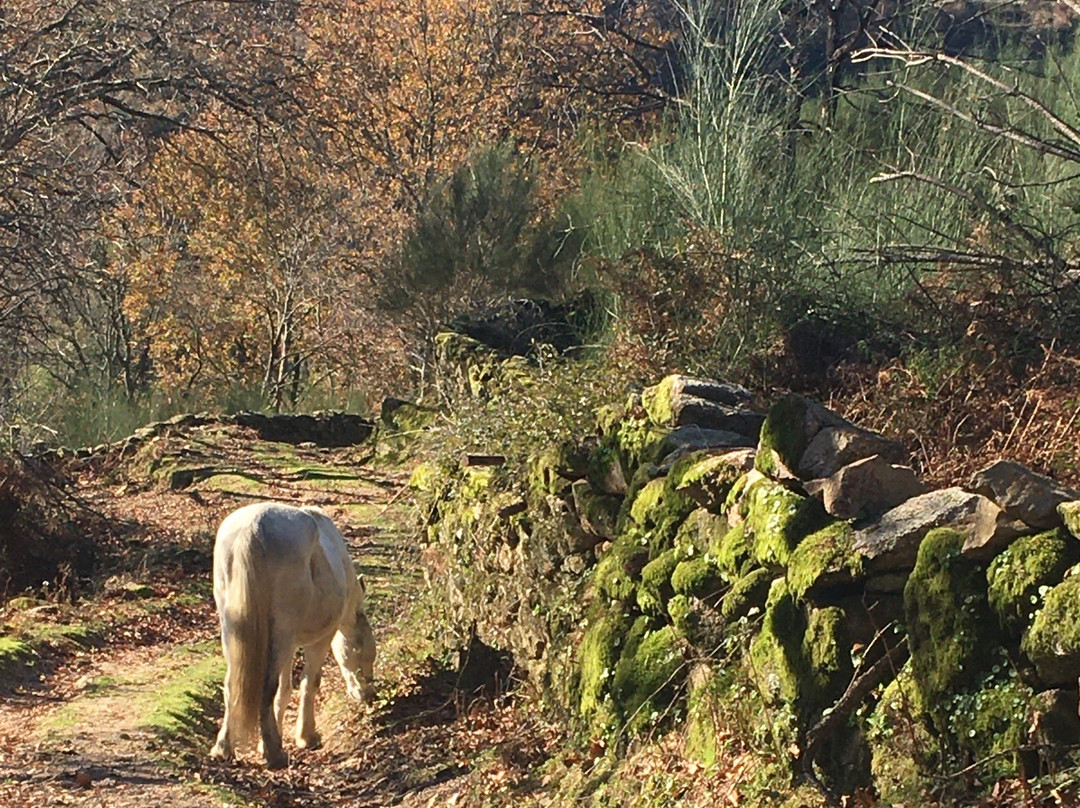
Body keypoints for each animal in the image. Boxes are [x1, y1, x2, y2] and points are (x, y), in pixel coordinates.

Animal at [207, 499, 375, 769]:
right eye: (365, 653)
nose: (368, 694)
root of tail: (254, 527)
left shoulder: (290, 644)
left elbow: (284, 690)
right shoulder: (320, 639)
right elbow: (309, 683)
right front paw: (307, 737)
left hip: (235, 631)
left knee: (232, 685)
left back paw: (224, 748)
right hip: (282, 633)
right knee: (267, 687)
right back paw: (273, 752)